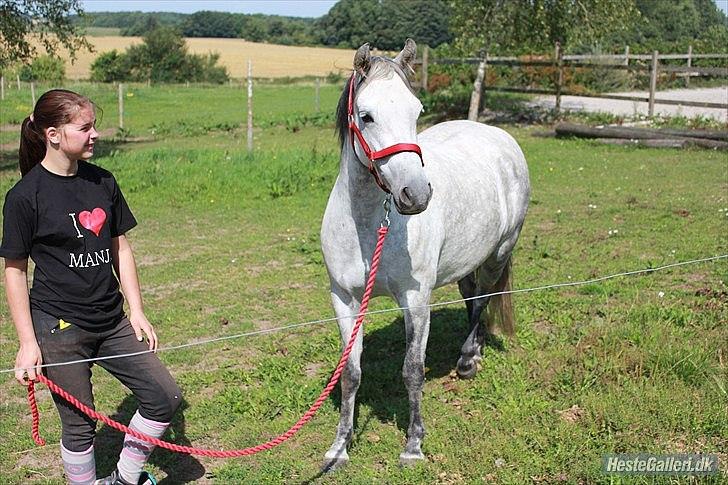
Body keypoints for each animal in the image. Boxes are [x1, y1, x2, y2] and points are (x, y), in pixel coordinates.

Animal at [320, 38, 530, 468]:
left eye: (416, 112)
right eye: (366, 116)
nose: (415, 195)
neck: (369, 227)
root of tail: (498, 136)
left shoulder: (416, 300)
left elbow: (413, 370)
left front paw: (413, 444)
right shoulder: (344, 299)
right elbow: (350, 373)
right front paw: (339, 447)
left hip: (500, 252)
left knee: (484, 298)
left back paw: (468, 359)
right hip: (468, 257)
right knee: (471, 296)